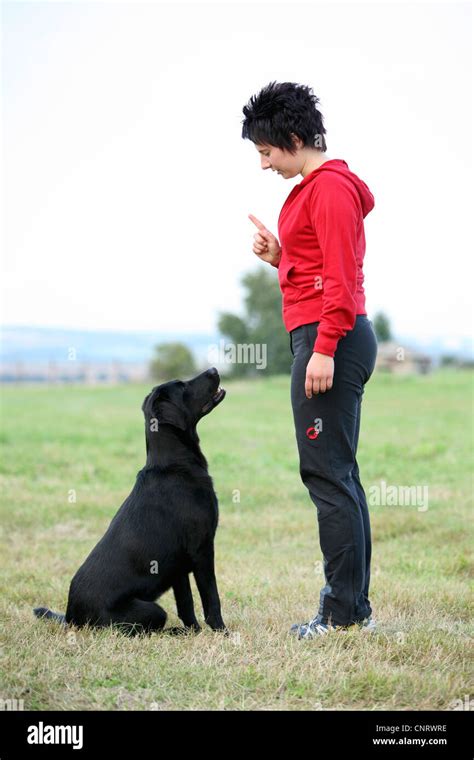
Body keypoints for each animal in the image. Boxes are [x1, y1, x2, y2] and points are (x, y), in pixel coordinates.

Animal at [33, 368, 228, 636]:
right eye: (182, 385)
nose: (214, 370)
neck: (176, 465)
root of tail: (72, 617)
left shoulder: (178, 566)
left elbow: (186, 603)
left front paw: (193, 631)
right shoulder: (202, 549)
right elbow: (211, 598)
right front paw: (222, 631)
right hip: (151, 610)